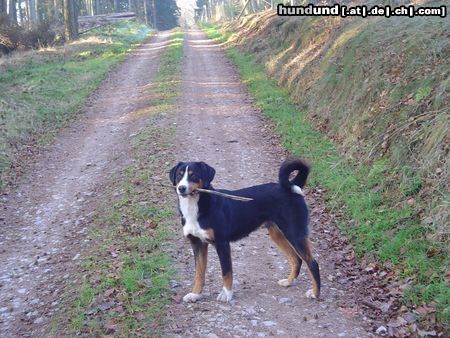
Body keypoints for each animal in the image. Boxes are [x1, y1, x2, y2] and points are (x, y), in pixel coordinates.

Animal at [169, 158, 320, 304]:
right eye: (179, 175)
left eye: (193, 175)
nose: (181, 188)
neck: (195, 207)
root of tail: (292, 186)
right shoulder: (197, 243)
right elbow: (199, 273)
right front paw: (195, 294)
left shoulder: (222, 243)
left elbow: (226, 272)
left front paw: (227, 294)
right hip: (277, 234)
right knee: (296, 259)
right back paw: (288, 282)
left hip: (294, 233)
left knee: (312, 263)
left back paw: (315, 293)